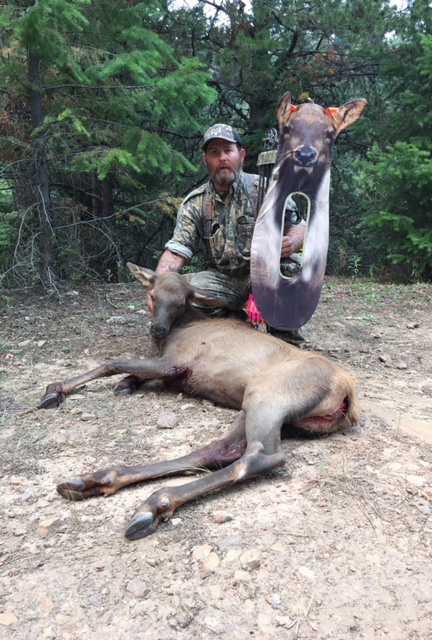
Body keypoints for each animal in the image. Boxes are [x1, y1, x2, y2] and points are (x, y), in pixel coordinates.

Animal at [39, 263, 361, 540]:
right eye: (153, 295)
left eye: (181, 300)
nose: (157, 329)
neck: (181, 328)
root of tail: (347, 392)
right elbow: (131, 372)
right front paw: (126, 384)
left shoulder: (175, 363)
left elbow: (112, 363)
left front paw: (56, 389)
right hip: (261, 406)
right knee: (218, 450)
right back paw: (100, 479)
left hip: (268, 393)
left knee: (261, 456)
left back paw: (155, 503)